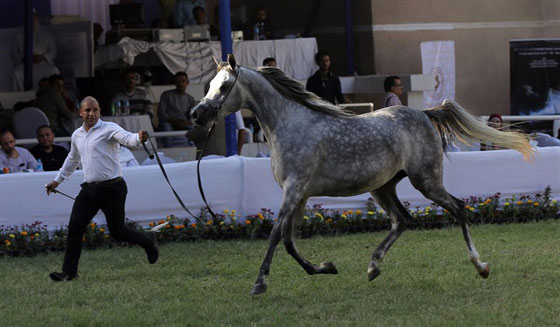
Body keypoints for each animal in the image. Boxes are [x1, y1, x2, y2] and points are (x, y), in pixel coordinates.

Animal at [190, 55, 532, 296]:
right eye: (209, 85)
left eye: (224, 87)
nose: (197, 115)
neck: (292, 125)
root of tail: (425, 113)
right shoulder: (299, 194)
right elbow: (289, 240)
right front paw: (326, 268)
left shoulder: (294, 189)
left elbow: (276, 234)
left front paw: (260, 283)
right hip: (383, 187)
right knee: (403, 220)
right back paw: (373, 267)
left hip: (426, 181)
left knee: (458, 208)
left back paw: (481, 266)